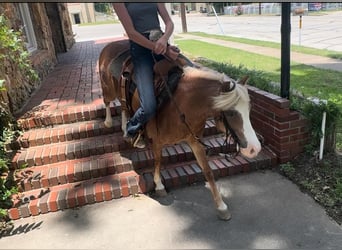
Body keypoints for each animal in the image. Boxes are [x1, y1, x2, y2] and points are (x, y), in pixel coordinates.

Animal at [99, 38, 262, 220]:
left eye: (249, 110)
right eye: (231, 112)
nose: (254, 149)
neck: (182, 102)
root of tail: (110, 45)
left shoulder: (195, 141)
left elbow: (208, 171)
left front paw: (221, 206)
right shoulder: (157, 141)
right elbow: (158, 161)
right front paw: (159, 185)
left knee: (123, 107)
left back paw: (125, 127)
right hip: (108, 88)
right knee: (107, 101)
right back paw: (109, 122)